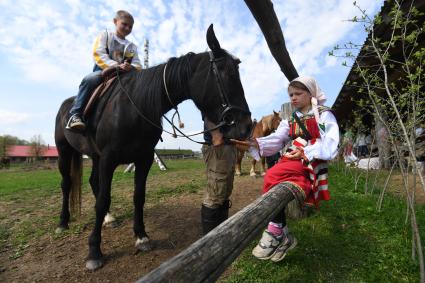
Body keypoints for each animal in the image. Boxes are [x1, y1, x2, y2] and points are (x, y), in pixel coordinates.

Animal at [54, 25, 250, 272]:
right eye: (227, 74)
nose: (246, 126)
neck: (134, 105)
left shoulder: (144, 158)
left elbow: (138, 196)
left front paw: (141, 236)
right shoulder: (109, 158)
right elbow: (102, 201)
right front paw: (94, 251)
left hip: (95, 157)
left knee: (93, 182)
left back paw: (108, 219)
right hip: (65, 152)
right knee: (67, 184)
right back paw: (63, 222)